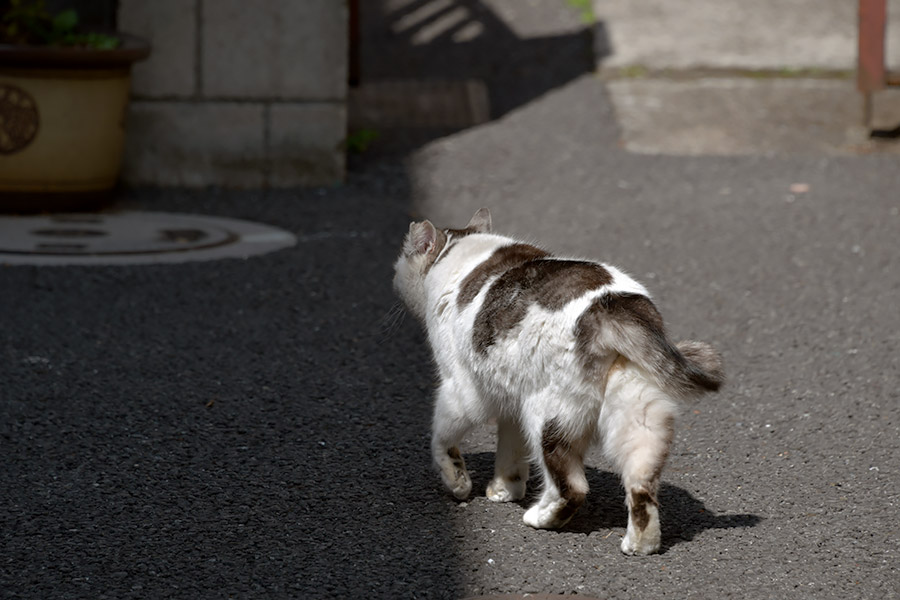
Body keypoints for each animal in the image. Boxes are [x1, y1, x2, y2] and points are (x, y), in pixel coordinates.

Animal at [394, 209, 724, 556]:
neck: (459, 251)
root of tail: (612, 307)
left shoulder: (461, 391)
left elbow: (442, 441)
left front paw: (459, 483)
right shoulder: (511, 402)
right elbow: (510, 452)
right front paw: (504, 489)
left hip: (547, 416)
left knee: (573, 487)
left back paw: (541, 517)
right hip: (637, 416)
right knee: (641, 486)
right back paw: (639, 546)